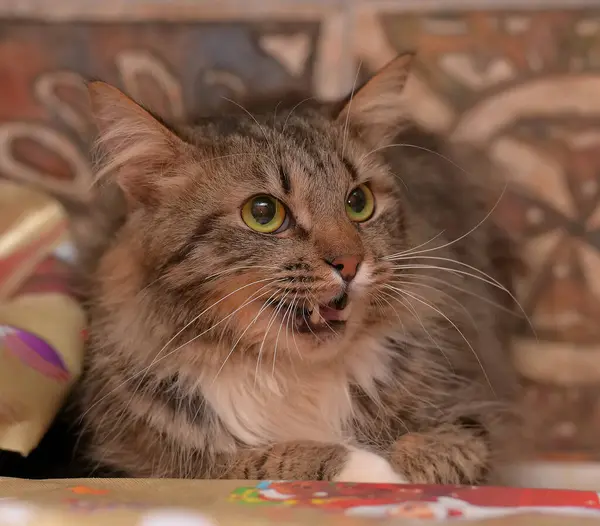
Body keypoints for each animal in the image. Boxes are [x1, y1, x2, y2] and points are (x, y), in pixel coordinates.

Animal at [7, 54, 524, 486]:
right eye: (263, 213)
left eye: (358, 202)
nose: (351, 263)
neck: (289, 375)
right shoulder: (135, 461)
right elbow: (250, 459)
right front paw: (362, 464)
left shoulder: (473, 408)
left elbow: (454, 445)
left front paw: (405, 461)